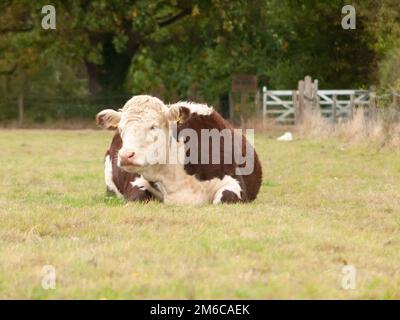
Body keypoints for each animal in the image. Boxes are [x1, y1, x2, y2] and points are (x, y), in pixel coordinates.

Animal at [95, 95, 260, 205]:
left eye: (153, 126)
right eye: (121, 128)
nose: (125, 155)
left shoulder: (235, 183)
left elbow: (225, 197)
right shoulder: (136, 182)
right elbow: (138, 196)